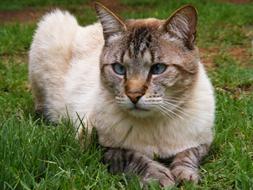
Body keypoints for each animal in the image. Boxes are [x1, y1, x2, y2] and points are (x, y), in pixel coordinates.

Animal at [29, 2, 215, 187]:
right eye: (119, 68)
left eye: (157, 68)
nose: (134, 95)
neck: (154, 124)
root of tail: (88, 26)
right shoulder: (96, 146)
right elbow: (134, 157)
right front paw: (160, 178)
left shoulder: (204, 141)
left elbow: (187, 155)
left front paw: (186, 177)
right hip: (52, 24)